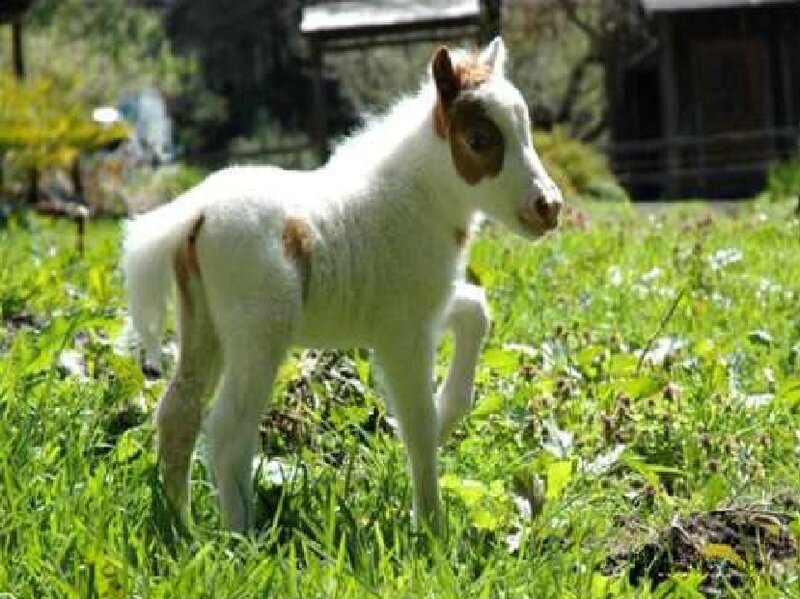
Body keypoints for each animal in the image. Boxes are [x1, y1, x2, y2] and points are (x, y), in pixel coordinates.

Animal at [121, 37, 563, 533]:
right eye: (479, 139)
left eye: (525, 130)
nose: (549, 207)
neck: (416, 201)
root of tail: (195, 213)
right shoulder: (402, 334)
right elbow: (418, 423)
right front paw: (431, 528)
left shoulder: (425, 307)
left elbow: (476, 312)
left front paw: (451, 414)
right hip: (258, 335)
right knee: (228, 430)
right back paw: (242, 537)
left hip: (203, 325)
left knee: (178, 413)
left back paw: (180, 526)